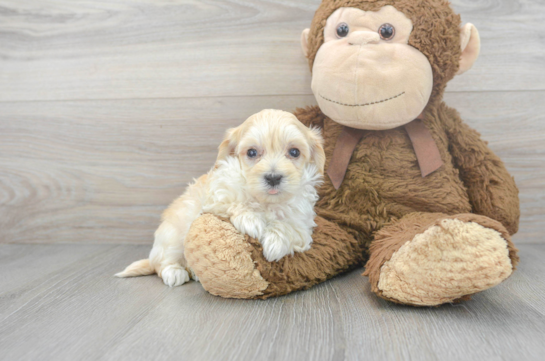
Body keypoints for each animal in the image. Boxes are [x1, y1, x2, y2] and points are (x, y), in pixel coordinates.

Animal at [114, 108, 324, 286]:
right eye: (252, 152)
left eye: (294, 152)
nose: (273, 177)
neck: (265, 201)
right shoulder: (216, 196)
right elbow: (235, 202)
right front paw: (251, 220)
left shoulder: (302, 221)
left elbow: (291, 228)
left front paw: (276, 243)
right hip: (172, 235)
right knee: (163, 262)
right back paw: (174, 272)